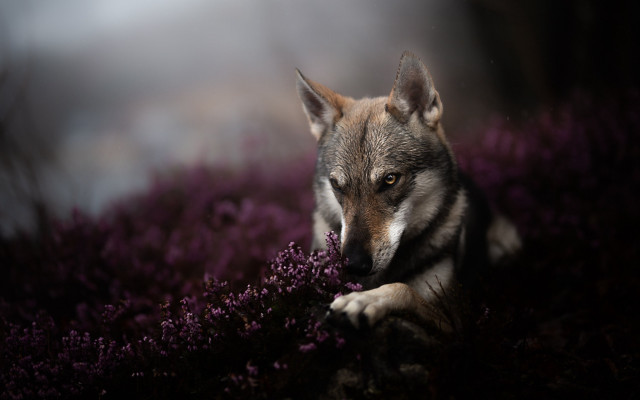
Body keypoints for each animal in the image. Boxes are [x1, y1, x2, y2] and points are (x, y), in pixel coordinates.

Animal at [296, 51, 520, 330]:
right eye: (337, 185)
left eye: (390, 180)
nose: (354, 264)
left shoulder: (456, 320)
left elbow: (404, 289)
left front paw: (362, 301)